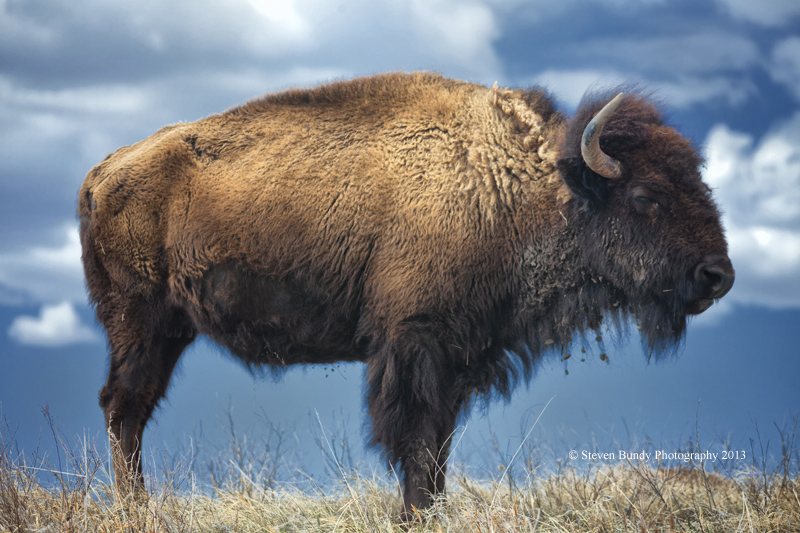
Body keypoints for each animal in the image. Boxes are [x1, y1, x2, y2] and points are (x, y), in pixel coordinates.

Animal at [78, 72, 734, 516]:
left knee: (129, 406)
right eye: (646, 196)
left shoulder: (459, 356)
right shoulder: (415, 343)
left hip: (170, 328)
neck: (515, 188)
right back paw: (136, 508)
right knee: (123, 405)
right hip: (139, 319)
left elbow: (439, 443)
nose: (718, 275)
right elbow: (416, 440)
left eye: (699, 183)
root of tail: (105, 171)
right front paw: (416, 513)